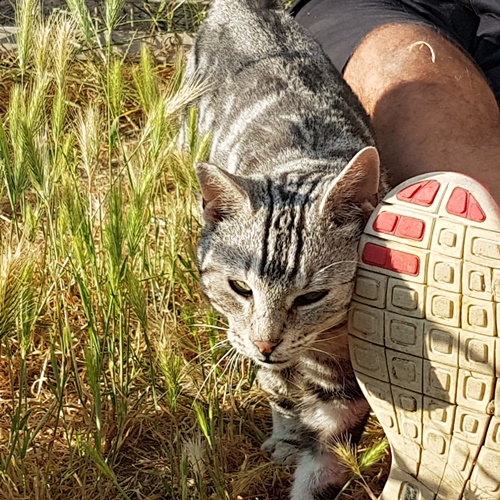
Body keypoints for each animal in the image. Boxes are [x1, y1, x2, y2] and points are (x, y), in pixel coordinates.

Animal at [184, 0, 386, 498]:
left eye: (312, 296)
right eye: (240, 288)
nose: (266, 343)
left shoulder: (343, 384)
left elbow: (326, 455)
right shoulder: (253, 343)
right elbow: (279, 392)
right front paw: (288, 435)